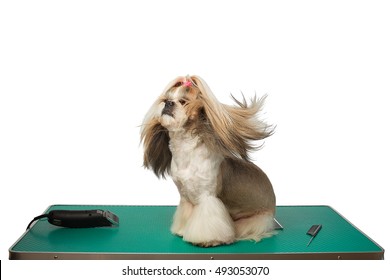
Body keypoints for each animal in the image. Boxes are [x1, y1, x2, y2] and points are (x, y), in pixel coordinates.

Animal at [140, 75, 274, 246]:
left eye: (183, 101)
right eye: (166, 99)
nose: (168, 103)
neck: (186, 153)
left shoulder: (207, 198)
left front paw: (209, 240)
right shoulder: (186, 199)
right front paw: (182, 230)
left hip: (255, 221)